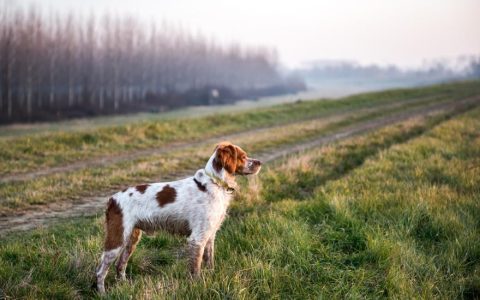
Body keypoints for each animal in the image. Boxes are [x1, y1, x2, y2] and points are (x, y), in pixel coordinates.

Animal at [95, 141, 262, 292]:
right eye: (243, 156)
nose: (259, 162)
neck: (215, 183)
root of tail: (112, 199)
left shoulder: (209, 236)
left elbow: (210, 262)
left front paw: (212, 278)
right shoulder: (197, 239)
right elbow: (195, 269)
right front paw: (197, 287)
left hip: (131, 239)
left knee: (120, 265)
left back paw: (125, 286)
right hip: (117, 239)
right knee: (100, 271)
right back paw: (102, 293)